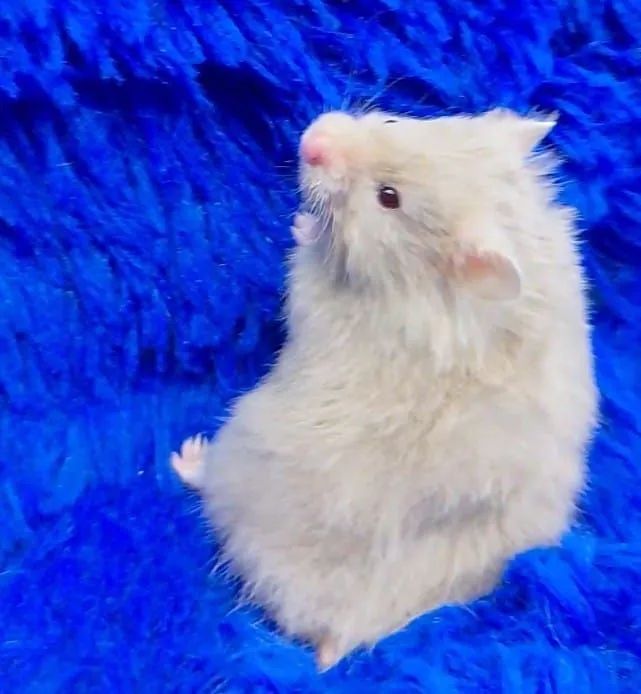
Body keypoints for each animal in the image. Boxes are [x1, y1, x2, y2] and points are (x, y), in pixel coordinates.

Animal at [172, 109, 597, 670]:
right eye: (397, 119)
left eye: (388, 197)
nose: (310, 141)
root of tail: (342, 633)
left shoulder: (323, 297)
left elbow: (303, 265)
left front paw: (304, 227)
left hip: (239, 446)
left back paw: (187, 455)